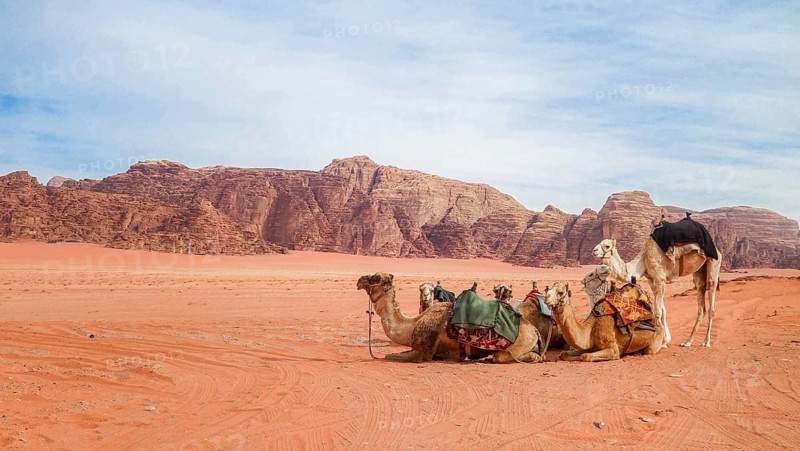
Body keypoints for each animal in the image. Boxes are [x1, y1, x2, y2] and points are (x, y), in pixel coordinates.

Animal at [357, 273, 543, 363]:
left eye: (375, 278)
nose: (359, 281)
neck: (412, 324)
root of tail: (535, 330)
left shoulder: (422, 352)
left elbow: (390, 356)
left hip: (518, 344)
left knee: (501, 357)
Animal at [592, 238, 721, 348]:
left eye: (607, 246)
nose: (594, 251)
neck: (643, 261)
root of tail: (718, 250)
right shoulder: (652, 281)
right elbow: (663, 311)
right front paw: (665, 340)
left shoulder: (660, 279)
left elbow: (658, 311)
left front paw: (659, 342)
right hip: (700, 270)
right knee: (701, 299)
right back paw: (687, 342)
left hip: (714, 262)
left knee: (711, 300)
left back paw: (706, 342)